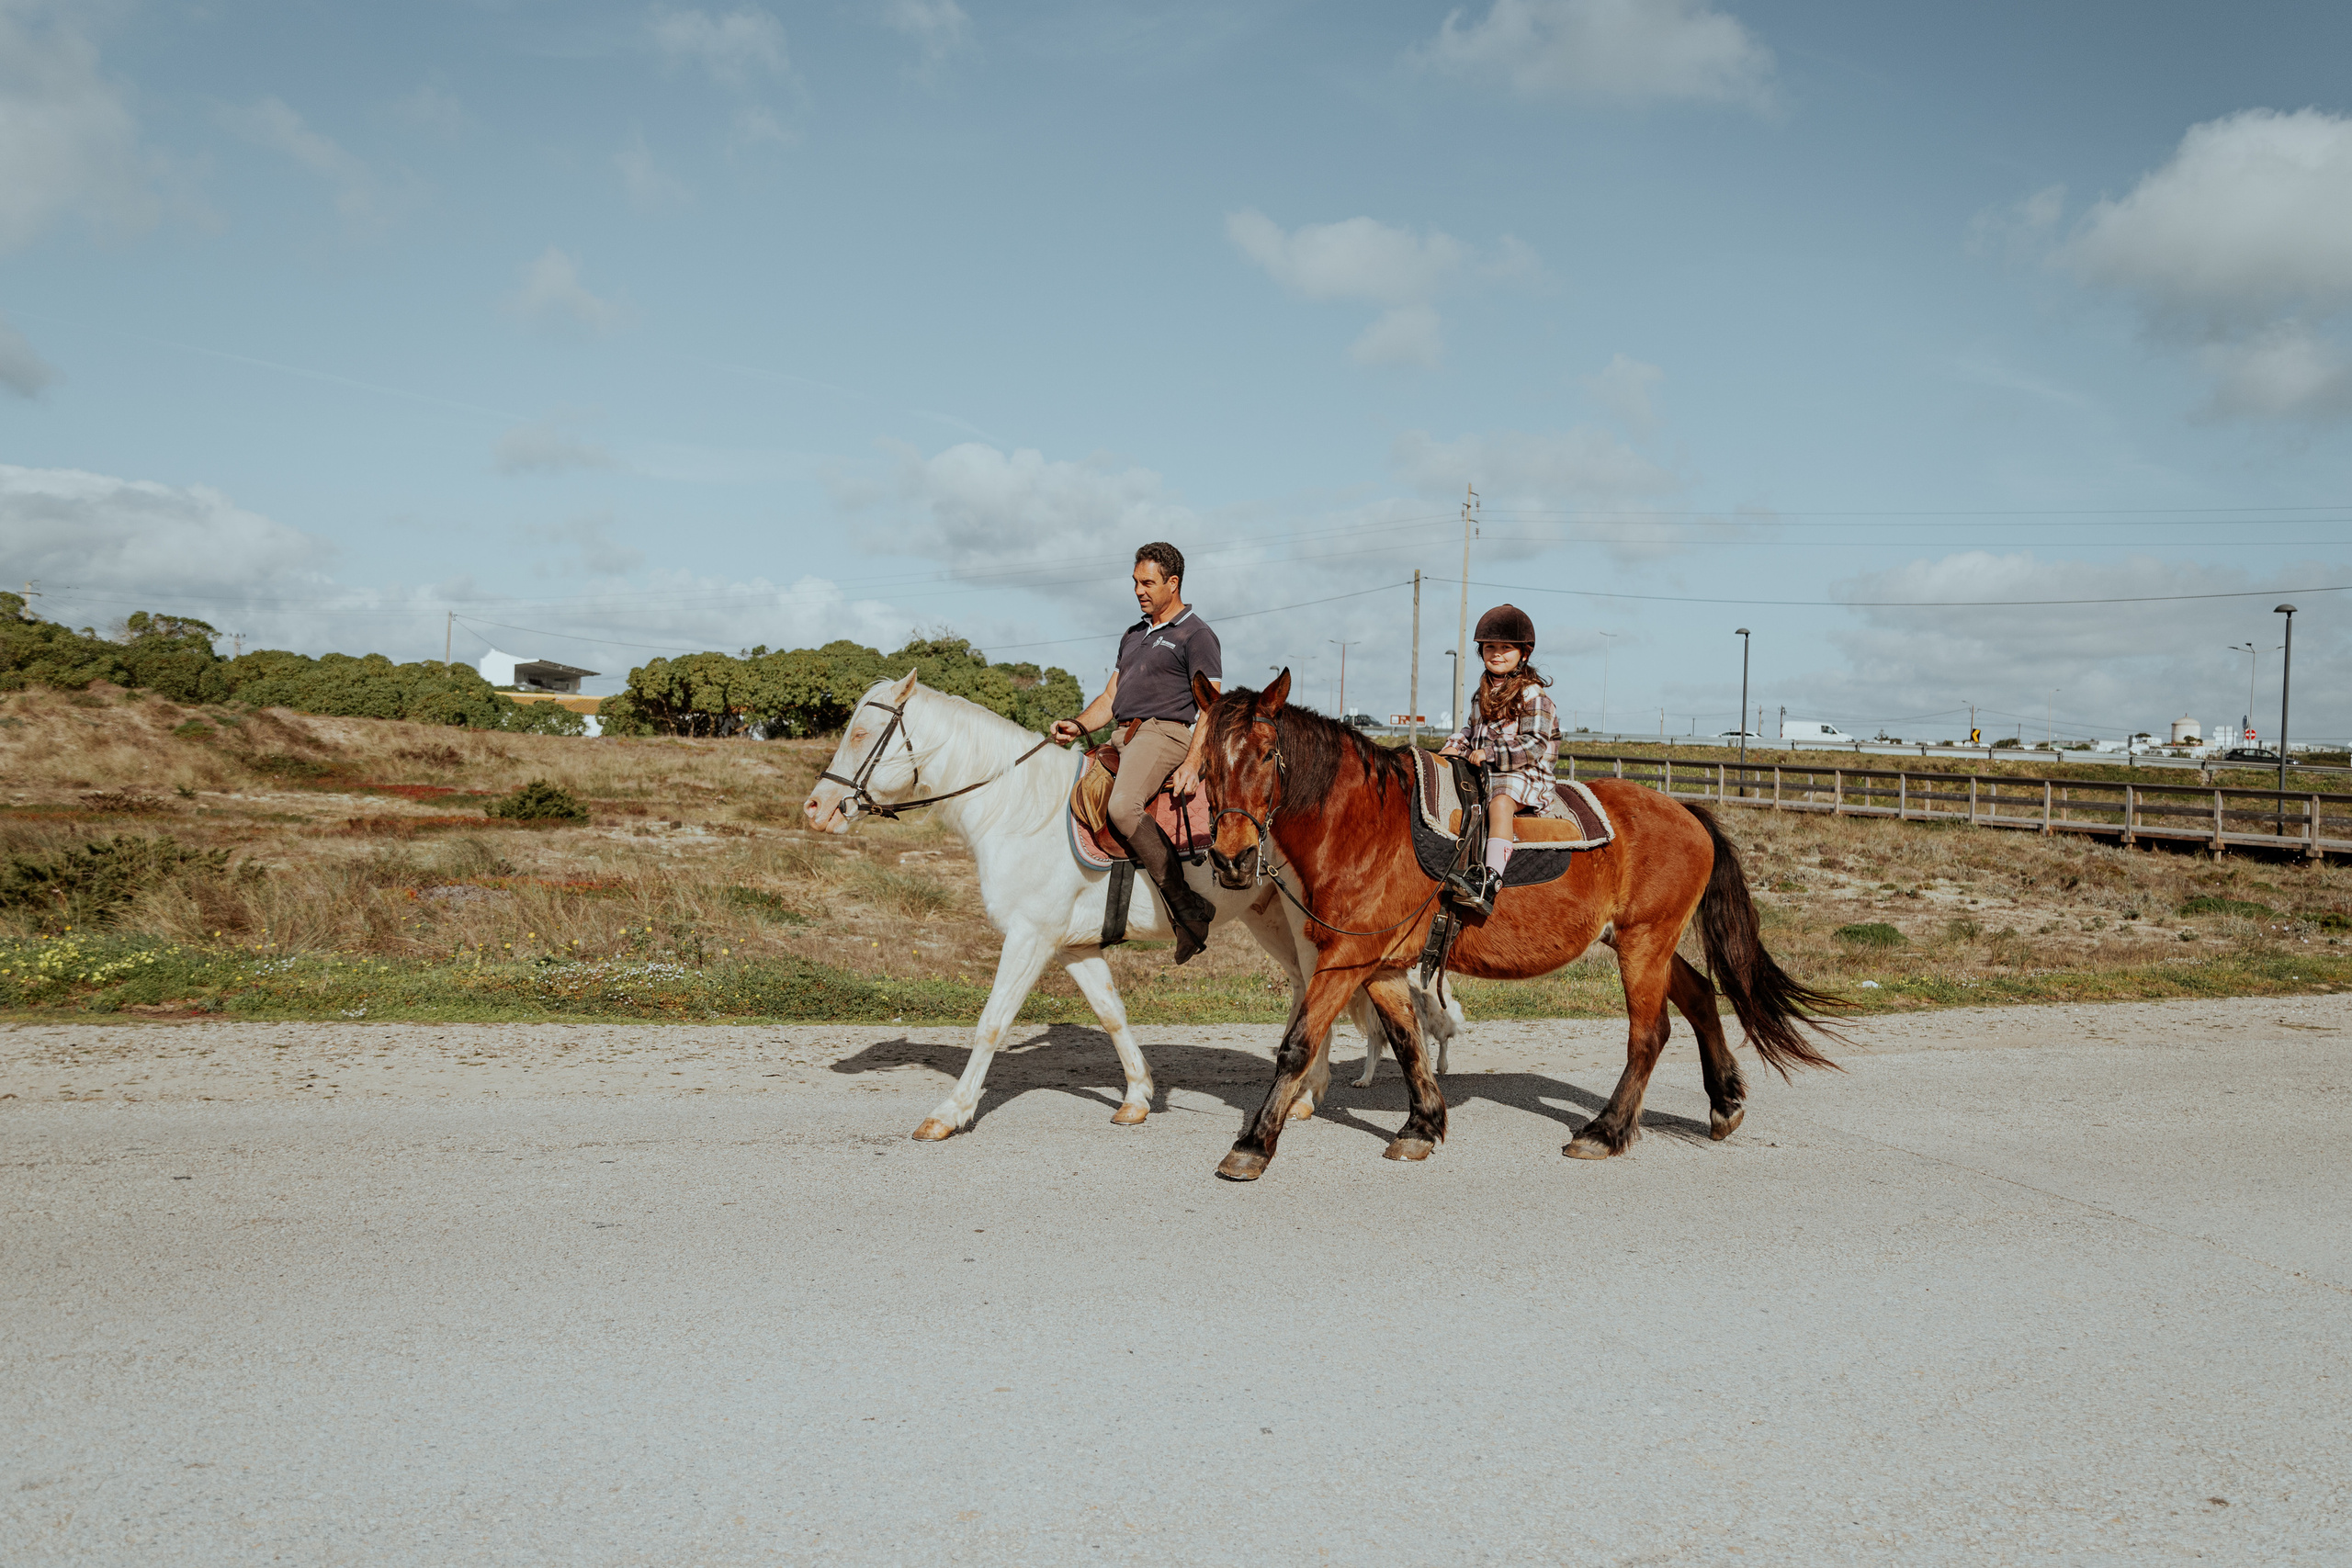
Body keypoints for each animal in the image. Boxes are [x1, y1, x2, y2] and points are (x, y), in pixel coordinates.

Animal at [801, 670, 1462, 1139]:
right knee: (1307, 988)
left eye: (861, 733)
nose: (816, 809)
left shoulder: (1029, 937)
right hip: (1267, 918)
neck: (1020, 806)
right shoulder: (1072, 946)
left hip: (1305, 921)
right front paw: (1138, 1096)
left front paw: (950, 1111)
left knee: (1317, 988)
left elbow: (992, 1022)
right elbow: (1112, 1014)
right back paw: (1302, 1092)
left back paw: (1305, 1092)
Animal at [1192, 670, 1845, 1182]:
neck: (1366, 826)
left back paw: (1605, 1131)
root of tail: (1687, 811)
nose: (1230, 857)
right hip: (1644, 941)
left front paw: (1252, 1145)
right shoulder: (1381, 965)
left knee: (1649, 1033)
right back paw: (1724, 1104)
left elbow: (1297, 1044)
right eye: (1206, 764)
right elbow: (1407, 1043)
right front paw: (1422, 1126)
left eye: (1265, 754)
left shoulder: (1345, 960)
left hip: (1644, 944)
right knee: (1702, 996)